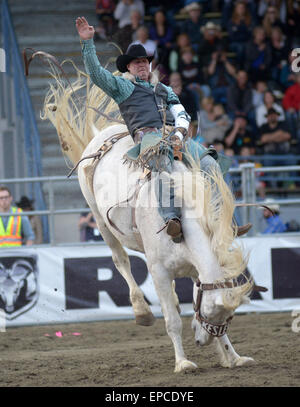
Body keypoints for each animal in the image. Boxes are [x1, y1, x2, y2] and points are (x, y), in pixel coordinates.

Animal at [42, 66, 260, 372]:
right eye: (209, 309)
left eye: (227, 317)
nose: (201, 341)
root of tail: (101, 135)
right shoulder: (158, 272)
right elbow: (171, 321)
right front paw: (183, 362)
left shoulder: (194, 270)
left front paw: (234, 357)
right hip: (100, 220)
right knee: (121, 261)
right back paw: (141, 310)